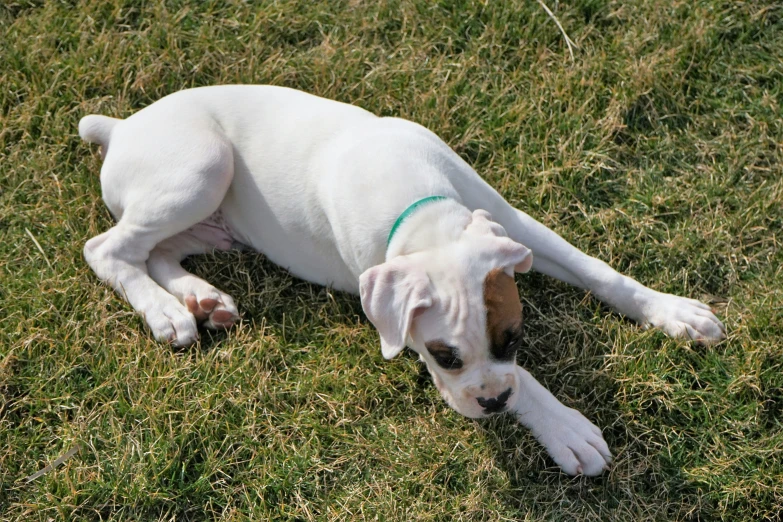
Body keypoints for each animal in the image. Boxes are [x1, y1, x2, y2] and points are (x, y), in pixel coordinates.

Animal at [79, 85, 728, 476]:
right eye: (443, 357)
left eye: (514, 337)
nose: (493, 404)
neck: (421, 212)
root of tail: (121, 125)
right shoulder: (398, 316)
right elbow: (528, 382)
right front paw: (563, 426)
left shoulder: (516, 224)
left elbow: (598, 270)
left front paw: (674, 312)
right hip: (201, 167)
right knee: (107, 249)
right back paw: (165, 313)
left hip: (213, 220)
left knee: (155, 251)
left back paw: (201, 297)